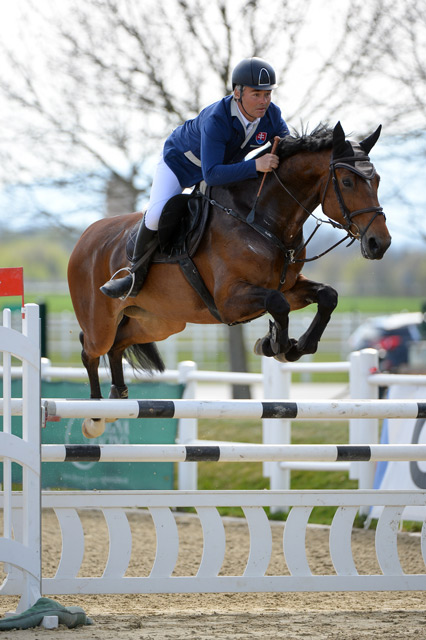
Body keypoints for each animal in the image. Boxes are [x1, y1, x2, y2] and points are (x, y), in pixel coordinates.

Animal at [68, 122, 392, 438]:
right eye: (347, 182)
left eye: (376, 180)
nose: (380, 244)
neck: (261, 219)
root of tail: (84, 238)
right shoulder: (229, 300)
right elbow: (278, 304)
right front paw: (277, 345)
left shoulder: (289, 286)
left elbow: (326, 296)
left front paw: (295, 346)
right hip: (102, 320)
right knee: (90, 350)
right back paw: (94, 416)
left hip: (159, 322)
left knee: (118, 344)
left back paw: (118, 398)